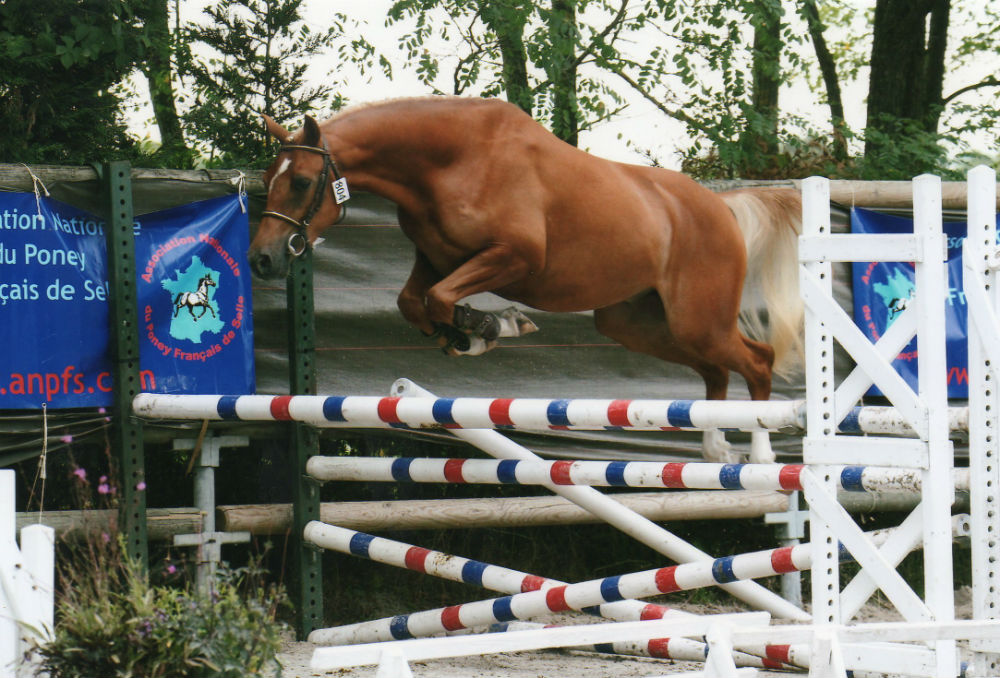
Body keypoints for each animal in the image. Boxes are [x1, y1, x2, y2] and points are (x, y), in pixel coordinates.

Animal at [252, 95, 804, 464]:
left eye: (301, 182)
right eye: (267, 181)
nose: (262, 260)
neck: (450, 161)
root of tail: (721, 207)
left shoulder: (515, 256)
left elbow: (439, 298)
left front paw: (490, 328)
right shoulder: (434, 257)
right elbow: (415, 302)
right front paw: (470, 331)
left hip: (698, 318)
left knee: (757, 361)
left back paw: (758, 454)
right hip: (638, 325)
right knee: (715, 371)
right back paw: (715, 447)